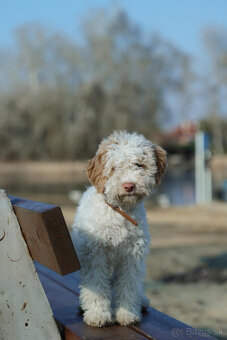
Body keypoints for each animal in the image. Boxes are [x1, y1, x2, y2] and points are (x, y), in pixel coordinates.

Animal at [72, 130, 168, 326]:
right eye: (114, 168)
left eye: (139, 164)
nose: (129, 185)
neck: (120, 212)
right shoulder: (95, 255)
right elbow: (96, 285)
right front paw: (98, 315)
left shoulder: (132, 255)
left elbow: (128, 285)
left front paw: (126, 314)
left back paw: (142, 300)